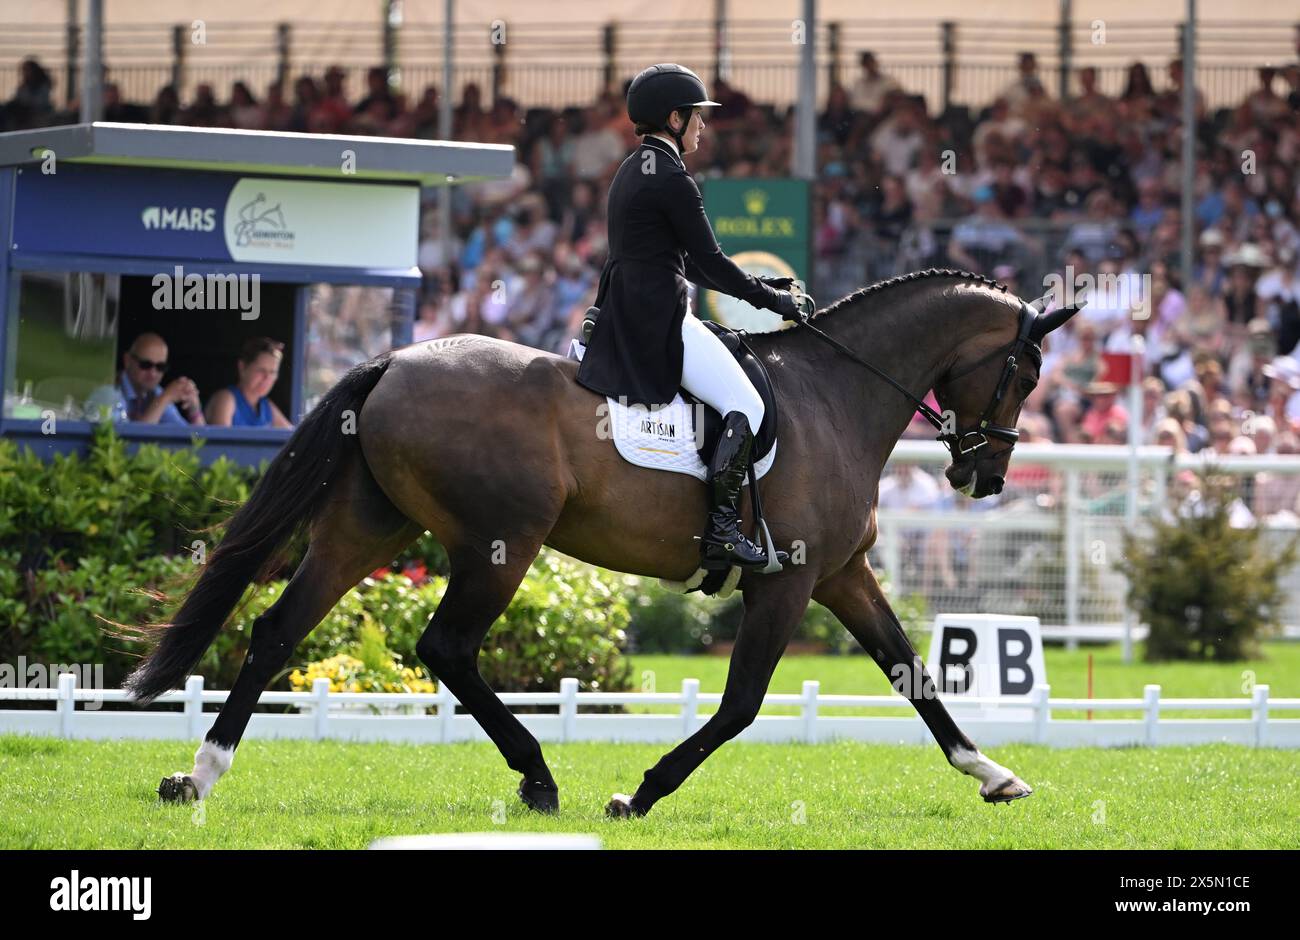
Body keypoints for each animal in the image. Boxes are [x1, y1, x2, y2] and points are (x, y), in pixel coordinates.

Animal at [124, 270, 1076, 816]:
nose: (987, 477)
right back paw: (540, 780)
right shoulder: (786, 582)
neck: (835, 396)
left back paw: (197, 775)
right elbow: (741, 704)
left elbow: (912, 672)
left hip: (371, 524)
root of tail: (396, 360)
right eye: (1025, 374)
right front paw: (640, 793)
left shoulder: (840, 574)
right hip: (502, 542)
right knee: (447, 647)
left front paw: (993, 774)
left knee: (278, 630)